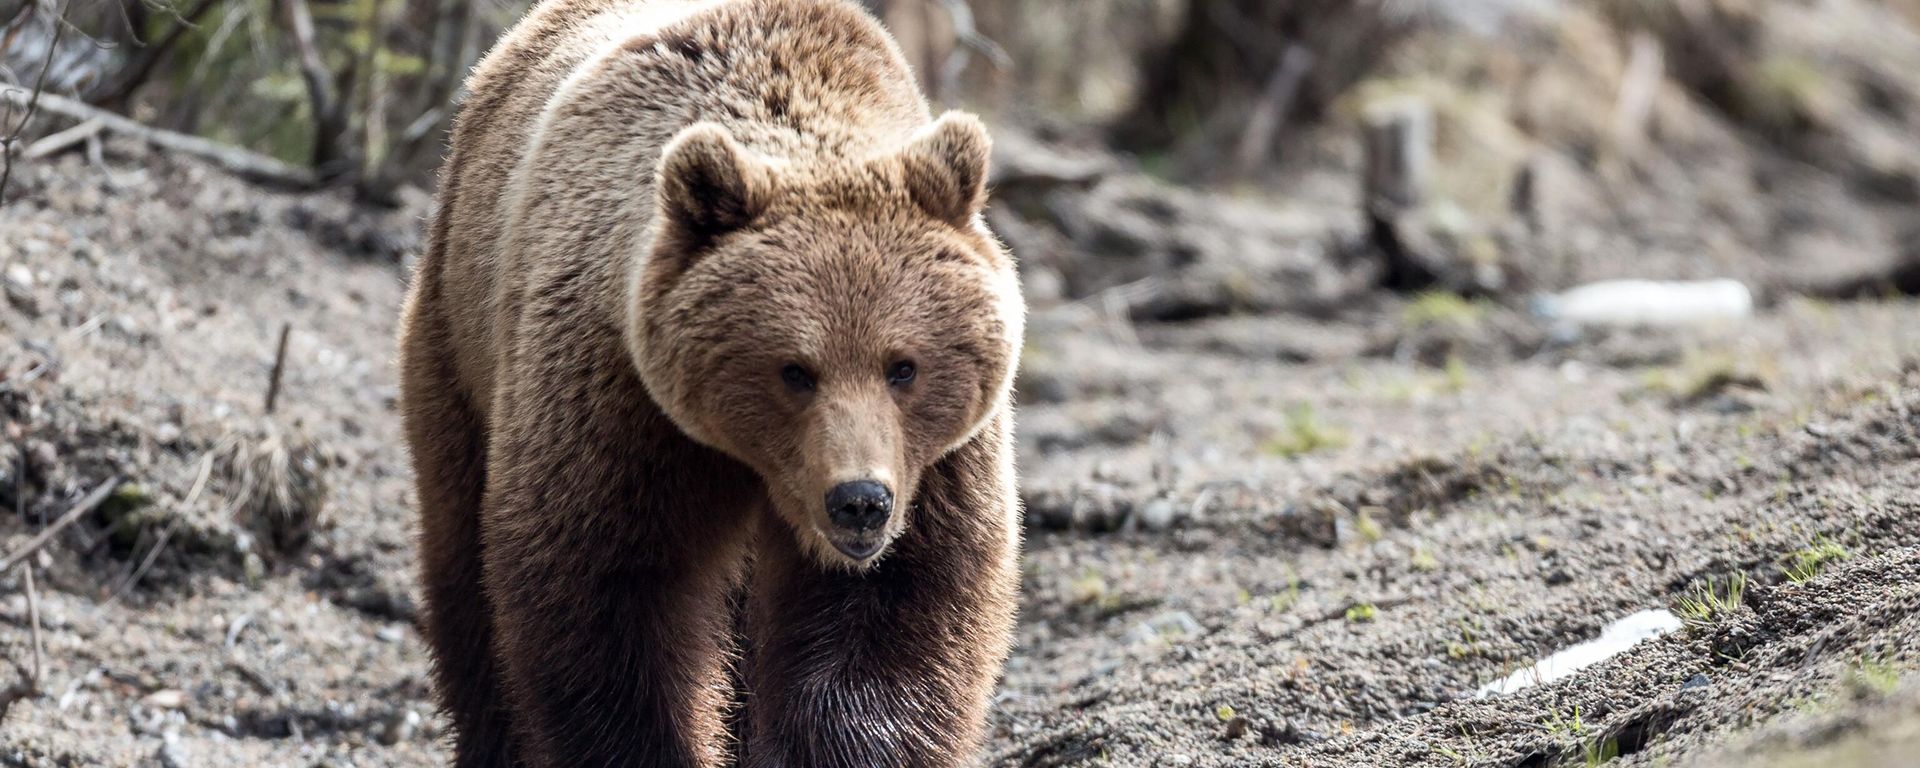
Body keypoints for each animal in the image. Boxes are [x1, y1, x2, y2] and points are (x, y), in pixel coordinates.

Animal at [394, 1, 1025, 766]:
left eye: (903, 366)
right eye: (794, 370)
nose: (860, 502)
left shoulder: (936, 464)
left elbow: (896, 616)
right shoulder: (619, 403)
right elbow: (610, 598)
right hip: (457, 342)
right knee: (464, 573)